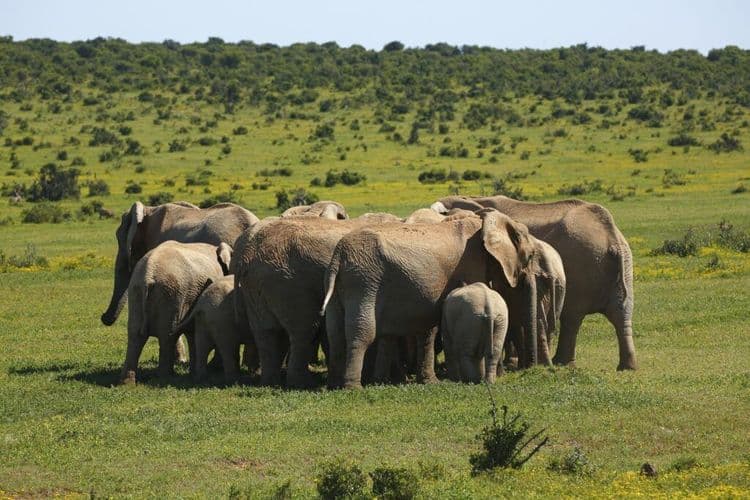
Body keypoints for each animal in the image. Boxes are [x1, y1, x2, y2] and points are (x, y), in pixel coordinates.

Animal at [121, 241, 232, 384]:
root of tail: (148, 274)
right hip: (171, 295)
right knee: (167, 336)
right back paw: (166, 378)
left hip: (137, 292)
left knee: (135, 336)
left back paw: (127, 382)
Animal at [322, 209, 542, 389]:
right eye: (531, 256)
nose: (528, 369)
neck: (484, 222)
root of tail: (339, 255)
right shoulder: (472, 264)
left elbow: (423, 328)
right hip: (364, 280)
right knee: (363, 331)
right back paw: (352, 388)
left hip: (345, 283)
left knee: (335, 332)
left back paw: (335, 384)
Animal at [431, 195, 636, 371]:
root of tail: (612, 238)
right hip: (622, 266)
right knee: (621, 313)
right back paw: (627, 367)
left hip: (582, 266)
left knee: (573, 316)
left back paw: (561, 363)